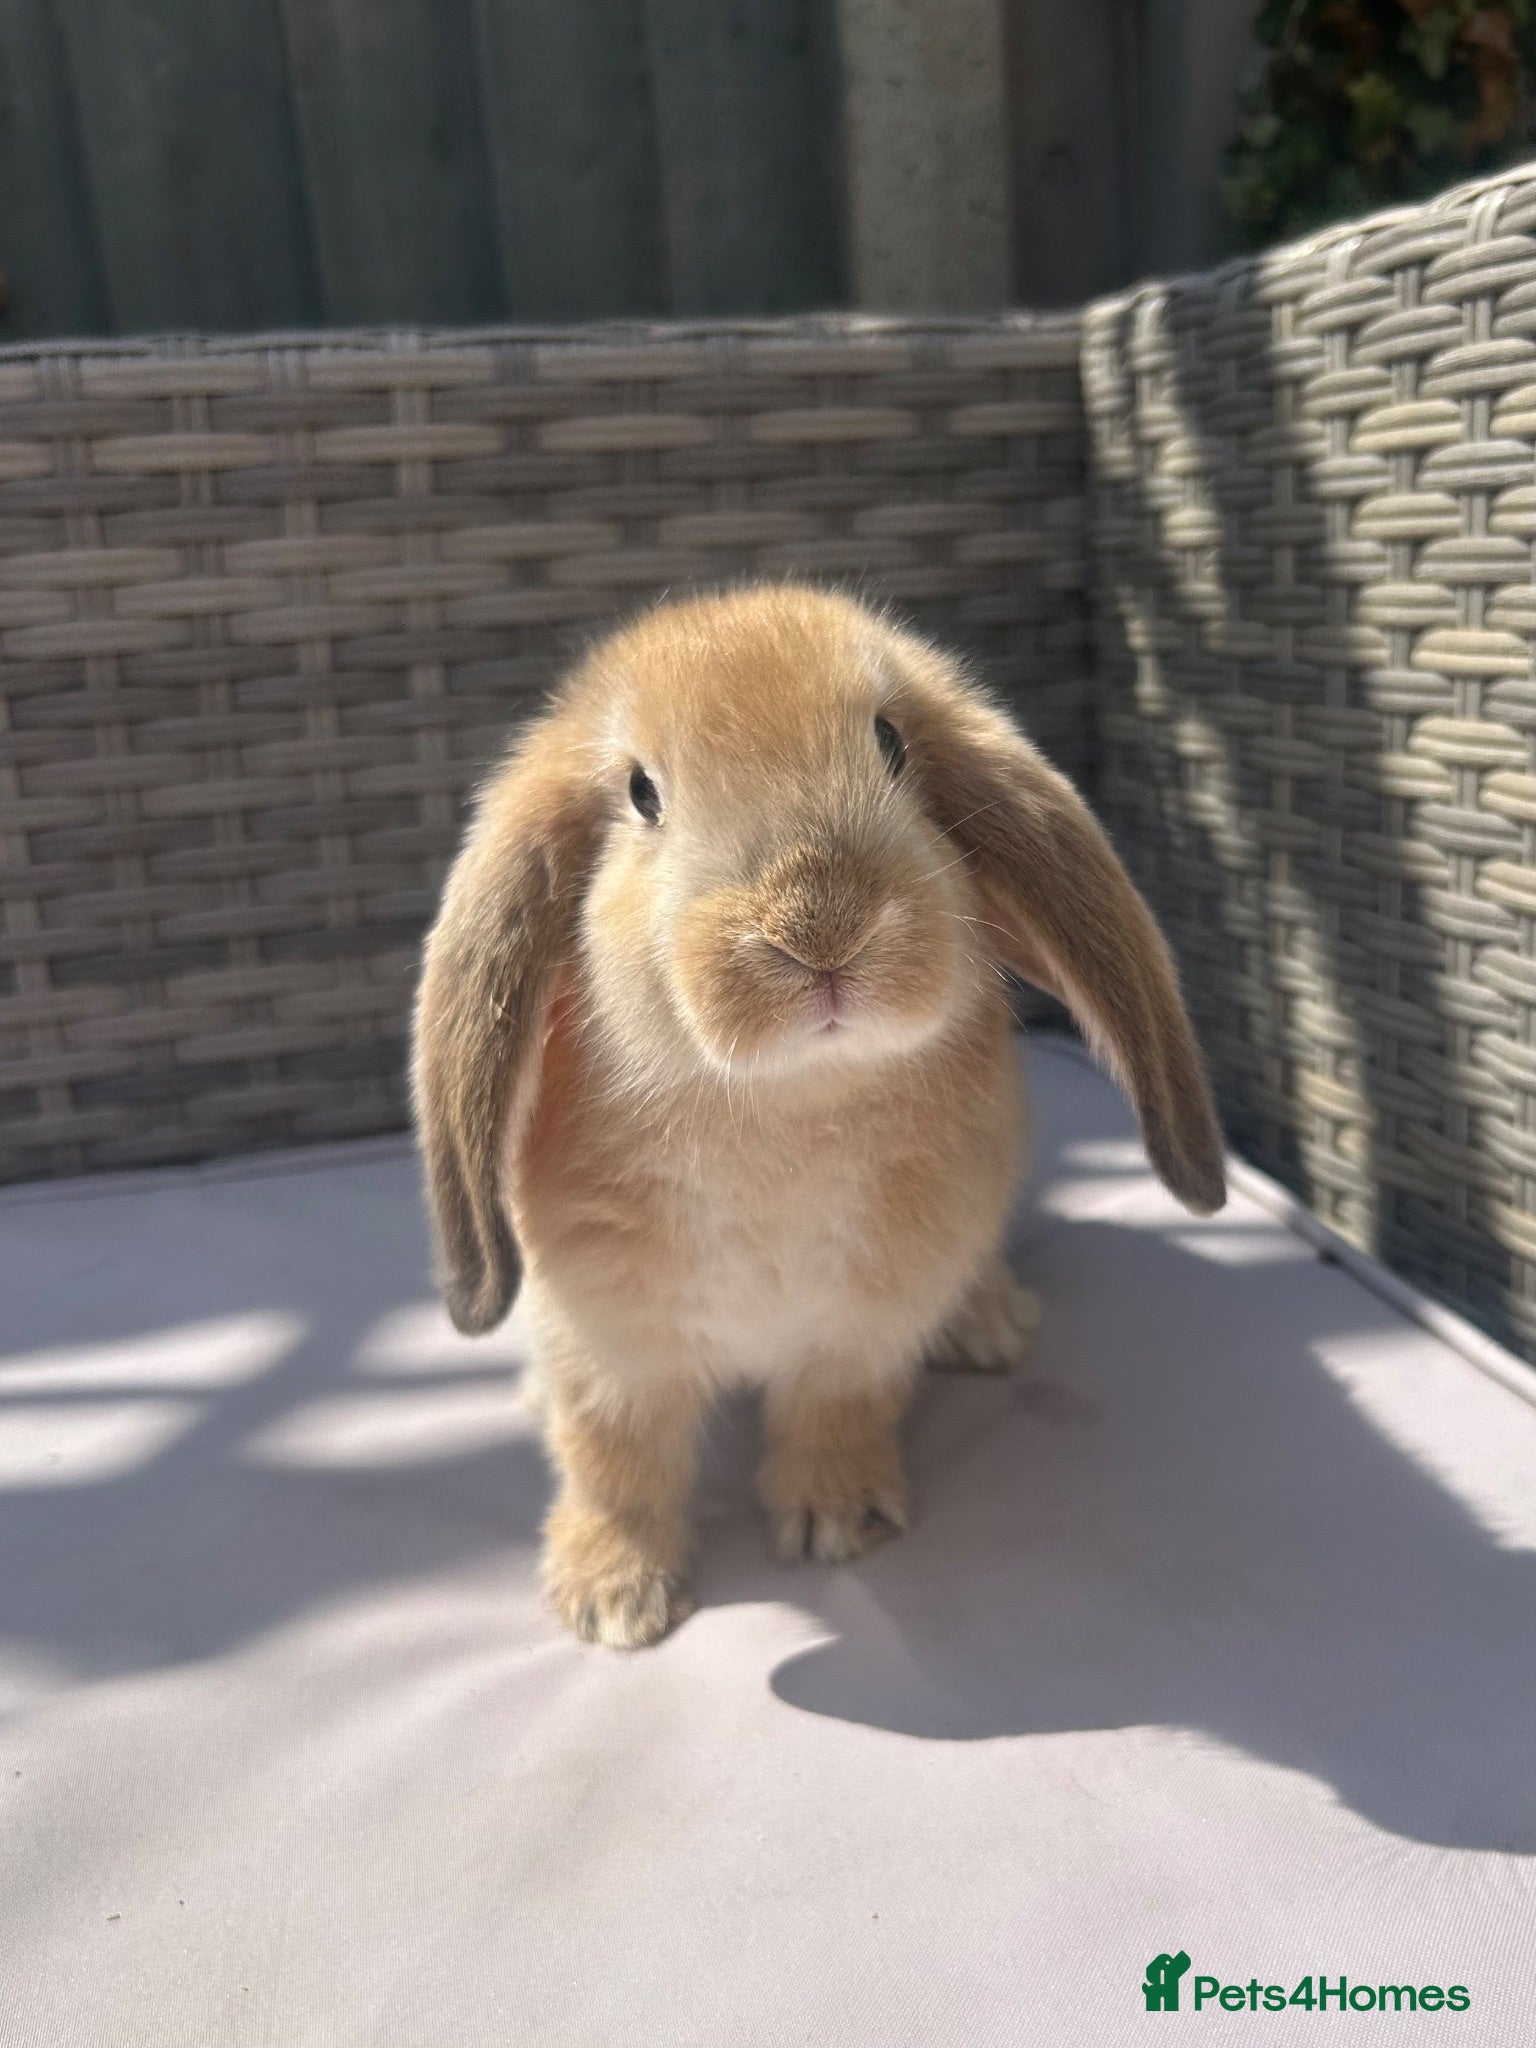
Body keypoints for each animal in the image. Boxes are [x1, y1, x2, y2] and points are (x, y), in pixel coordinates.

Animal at [412, 584, 1225, 1648]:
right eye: (641, 794)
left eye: (892, 743)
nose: (819, 925)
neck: (784, 1107)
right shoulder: (610, 1346)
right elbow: (614, 1461)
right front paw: (613, 1600)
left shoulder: (864, 1326)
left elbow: (835, 1413)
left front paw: (838, 1524)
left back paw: (992, 1323)